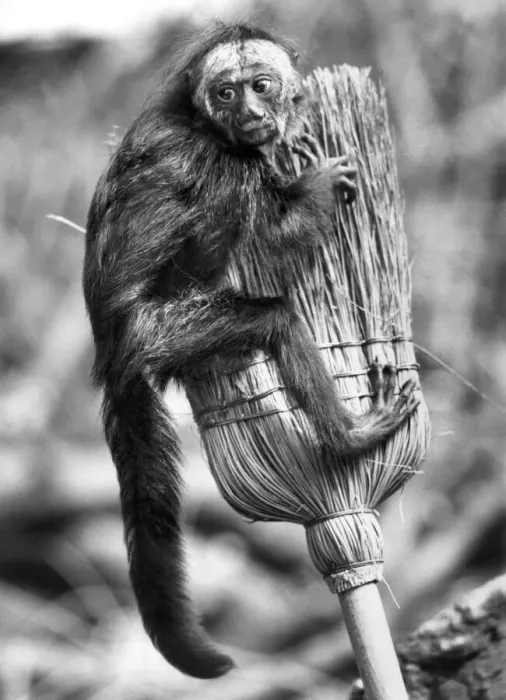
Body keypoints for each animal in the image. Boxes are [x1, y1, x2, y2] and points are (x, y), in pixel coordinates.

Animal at [83, 21, 419, 679]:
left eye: (260, 86)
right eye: (227, 93)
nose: (253, 112)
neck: (207, 128)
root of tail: (111, 352)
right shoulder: (221, 162)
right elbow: (270, 235)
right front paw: (312, 192)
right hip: (164, 330)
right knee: (272, 315)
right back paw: (349, 438)